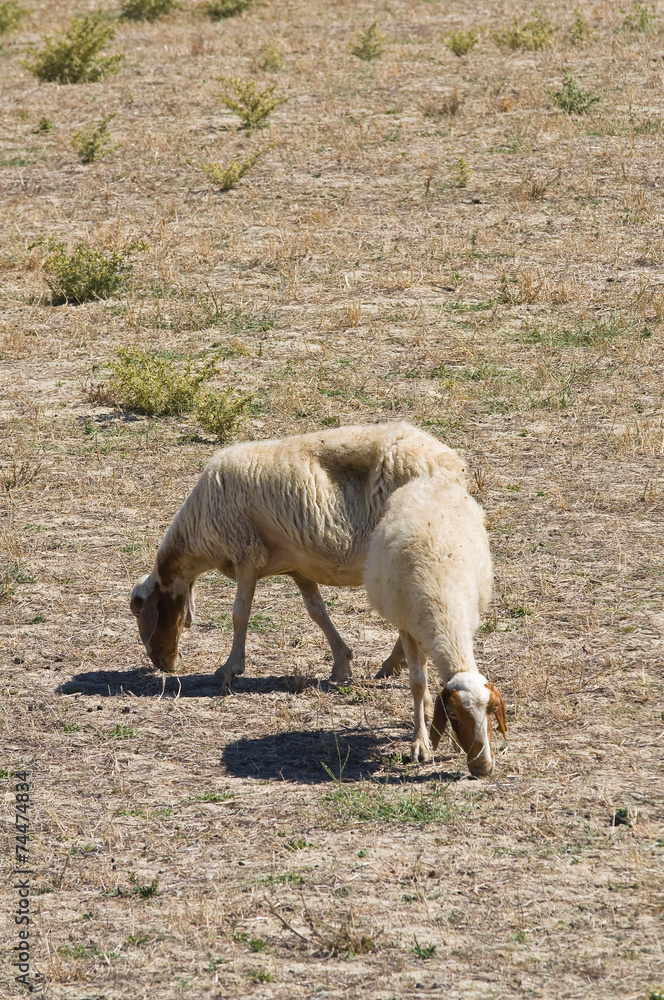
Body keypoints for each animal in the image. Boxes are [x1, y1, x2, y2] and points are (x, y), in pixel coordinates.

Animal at [130, 422, 466, 686]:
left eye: (144, 611)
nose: (162, 664)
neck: (199, 529)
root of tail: (451, 463)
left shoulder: (247, 553)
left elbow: (240, 614)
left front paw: (229, 669)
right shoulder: (297, 567)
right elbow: (317, 613)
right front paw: (341, 665)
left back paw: (393, 664)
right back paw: (392, 664)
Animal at [364, 471, 507, 777]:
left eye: (491, 711)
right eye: (452, 714)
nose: (483, 768)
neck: (445, 611)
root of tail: (430, 479)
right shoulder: (407, 628)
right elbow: (417, 683)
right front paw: (421, 743)